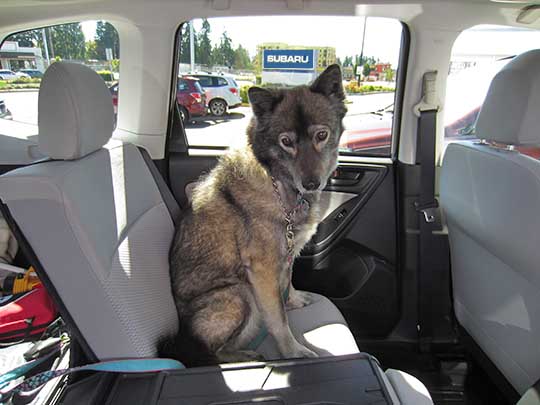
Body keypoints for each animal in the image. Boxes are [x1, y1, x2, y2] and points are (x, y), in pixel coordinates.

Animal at [162, 64, 346, 364]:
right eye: (286, 142)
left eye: (322, 135)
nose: (311, 183)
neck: (277, 181)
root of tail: (182, 341)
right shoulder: (262, 270)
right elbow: (278, 319)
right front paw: (293, 352)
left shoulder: (286, 255)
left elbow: (288, 284)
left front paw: (294, 300)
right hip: (240, 293)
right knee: (213, 352)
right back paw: (246, 356)